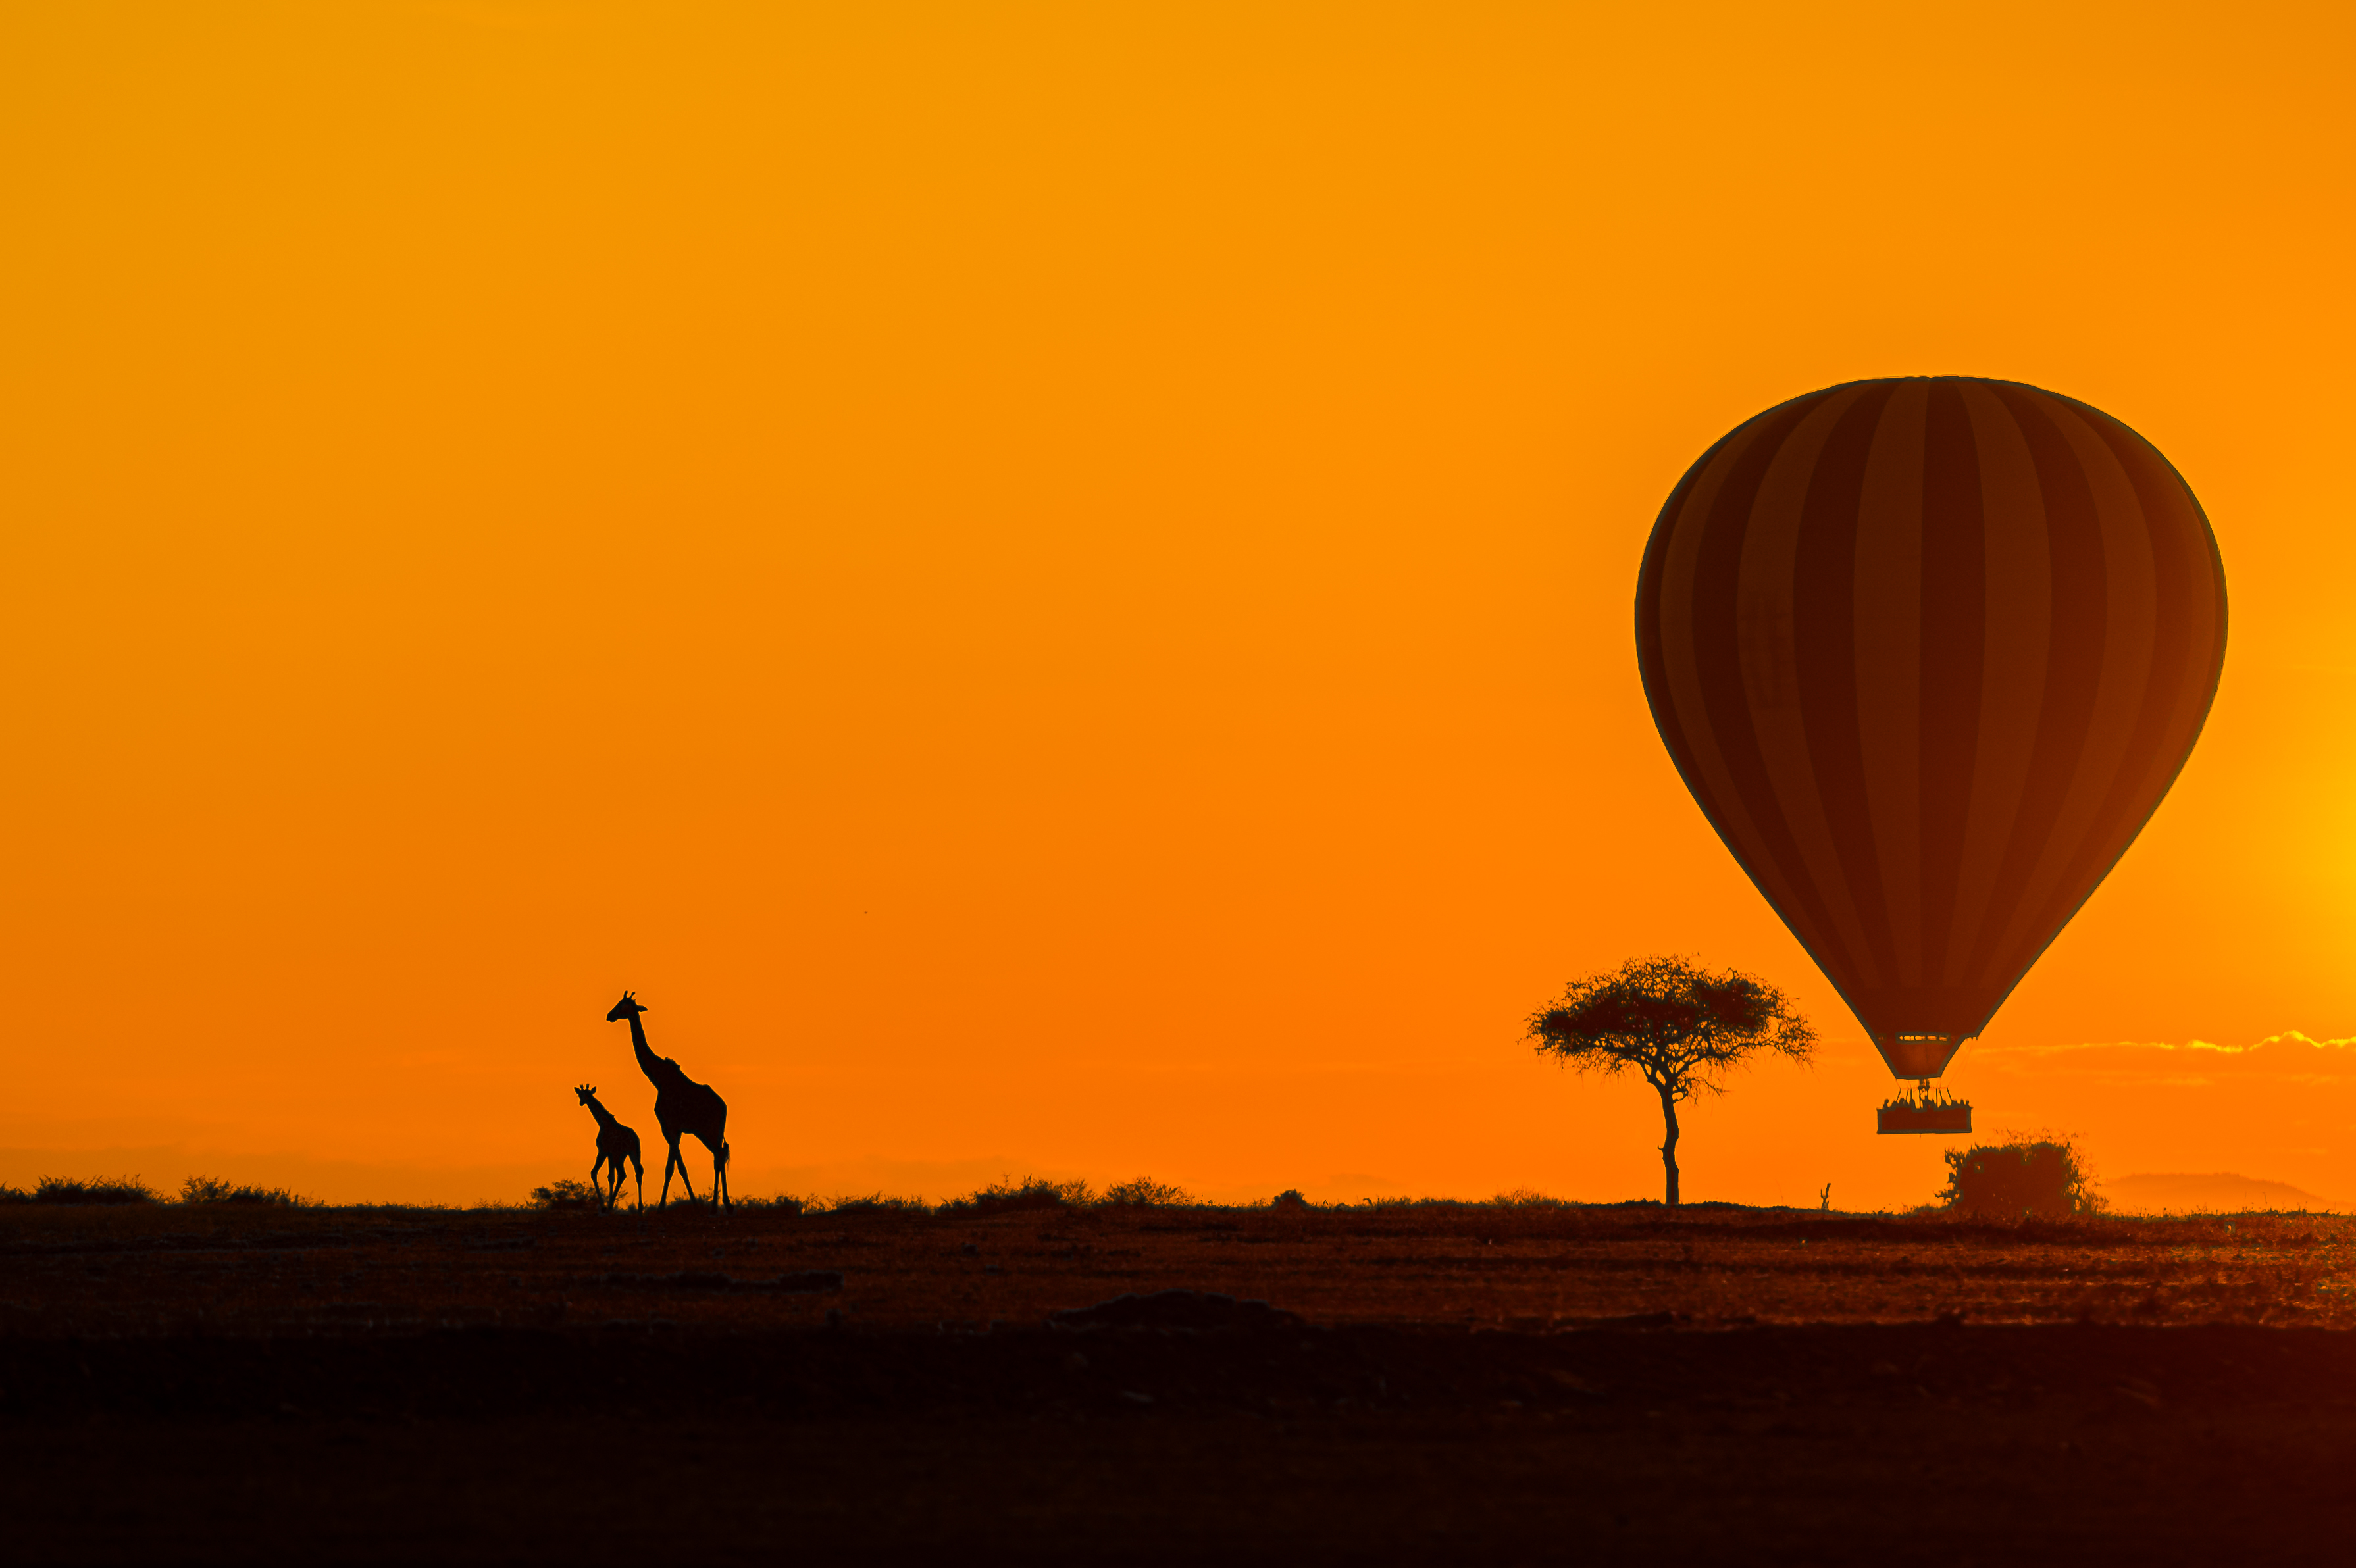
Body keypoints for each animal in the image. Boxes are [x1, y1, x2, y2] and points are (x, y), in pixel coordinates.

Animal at [573, 1084, 643, 1212]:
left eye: (583, 1095)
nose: (581, 1102)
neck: (603, 1123)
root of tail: (634, 1138)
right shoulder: (611, 1154)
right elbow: (611, 1177)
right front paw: (610, 1203)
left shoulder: (603, 1151)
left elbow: (594, 1172)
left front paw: (603, 1205)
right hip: (633, 1153)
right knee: (638, 1171)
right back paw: (640, 1208)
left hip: (620, 1155)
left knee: (622, 1174)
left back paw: (610, 1206)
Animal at [606, 992, 730, 1208]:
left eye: (621, 1005)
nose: (609, 1015)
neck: (658, 1079)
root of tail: (723, 1107)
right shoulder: (674, 1129)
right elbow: (673, 1166)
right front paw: (667, 1205)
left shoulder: (669, 1127)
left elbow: (676, 1167)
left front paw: (676, 1205)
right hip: (708, 1132)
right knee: (719, 1155)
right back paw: (724, 1206)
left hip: (709, 1130)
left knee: (719, 1156)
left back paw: (717, 1206)